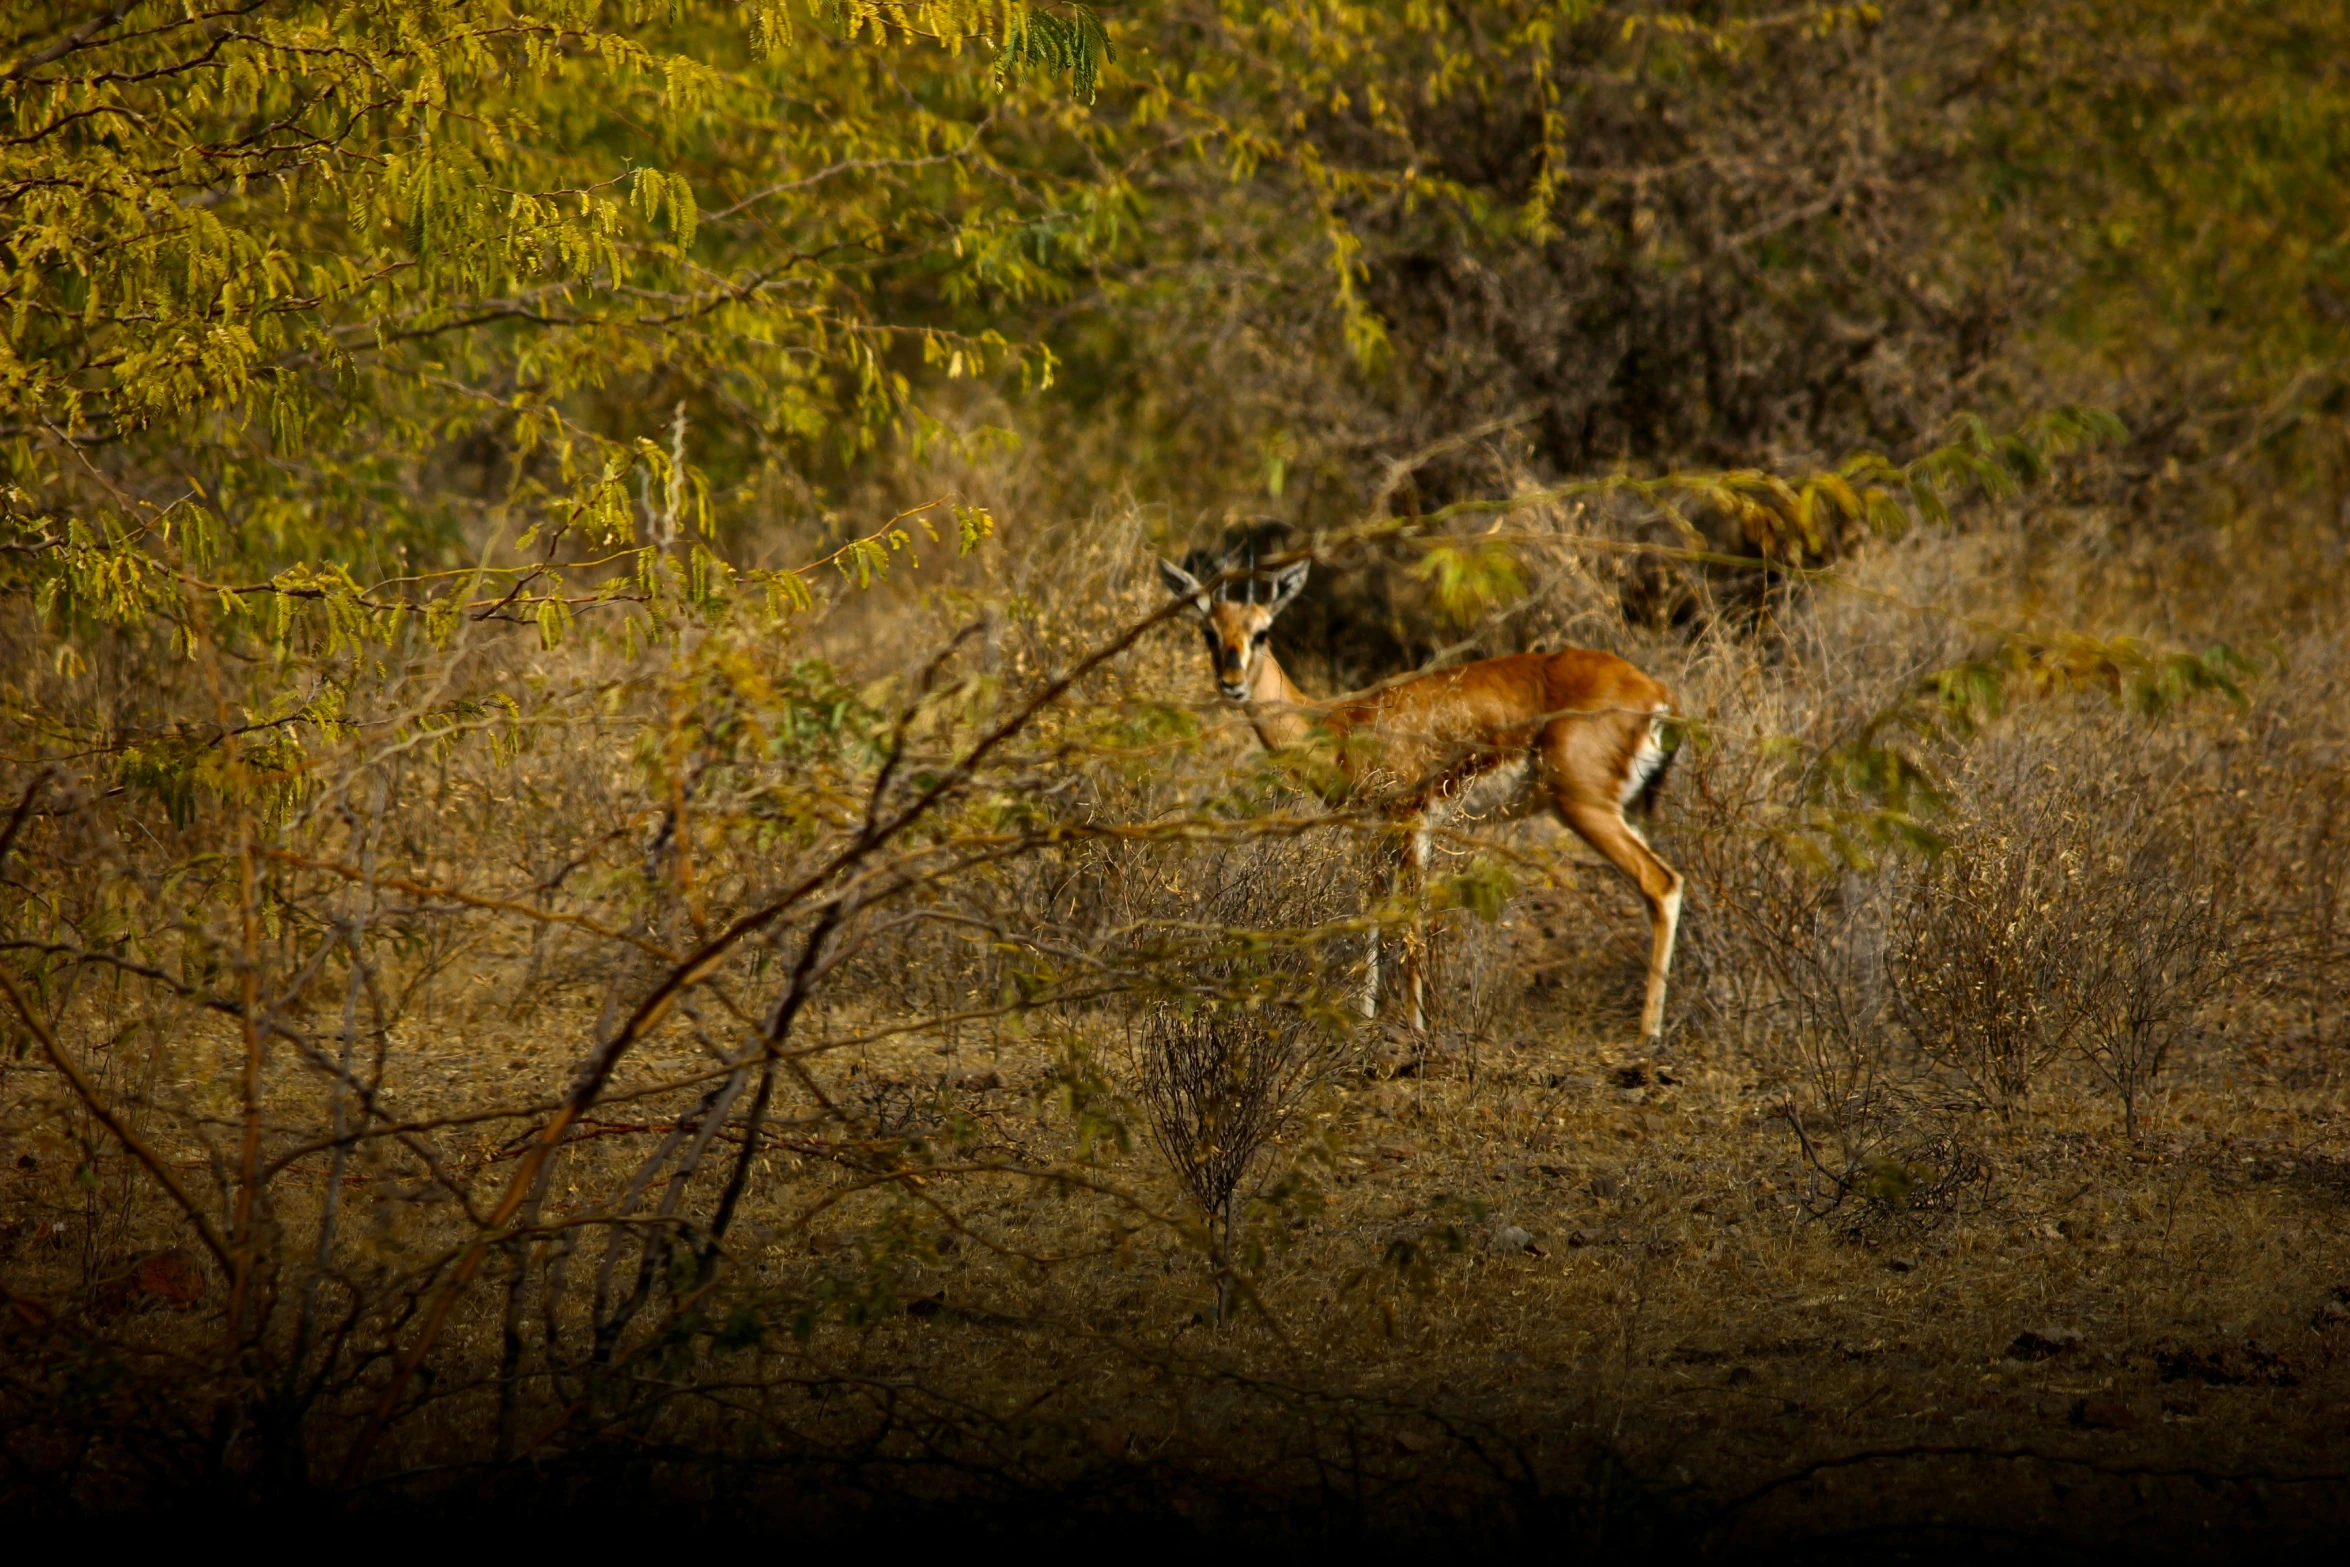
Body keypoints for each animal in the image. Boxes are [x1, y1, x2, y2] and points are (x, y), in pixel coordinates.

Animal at [1160, 556, 1682, 1047]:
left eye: (1262, 631)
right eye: (1208, 631)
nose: (1231, 682)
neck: (1336, 723)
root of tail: (1656, 693)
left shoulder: (1413, 822)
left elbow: (1412, 916)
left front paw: (1416, 1027)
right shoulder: (1369, 832)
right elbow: (1371, 912)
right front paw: (1365, 1018)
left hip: (1584, 808)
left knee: (1662, 883)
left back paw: (1649, 1034)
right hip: (1628, 811)